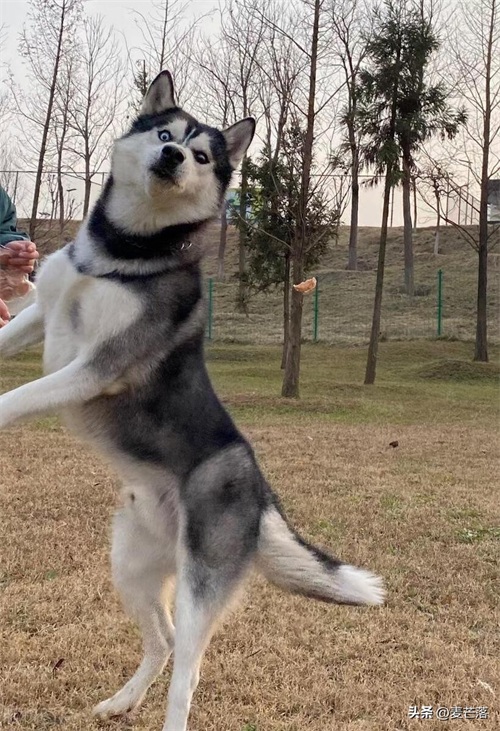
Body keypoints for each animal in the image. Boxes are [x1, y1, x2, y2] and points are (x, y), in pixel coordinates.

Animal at [0, 71, 385, 731]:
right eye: (166, 134)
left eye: (203, 156)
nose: (175, 157)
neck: (121, 254)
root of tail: (262, 491)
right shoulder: (38, 316)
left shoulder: (97, 367)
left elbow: (17, 396)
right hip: (131, 563)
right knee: (163, 643)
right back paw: (122, 701)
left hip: (202, 577)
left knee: (187, 671)